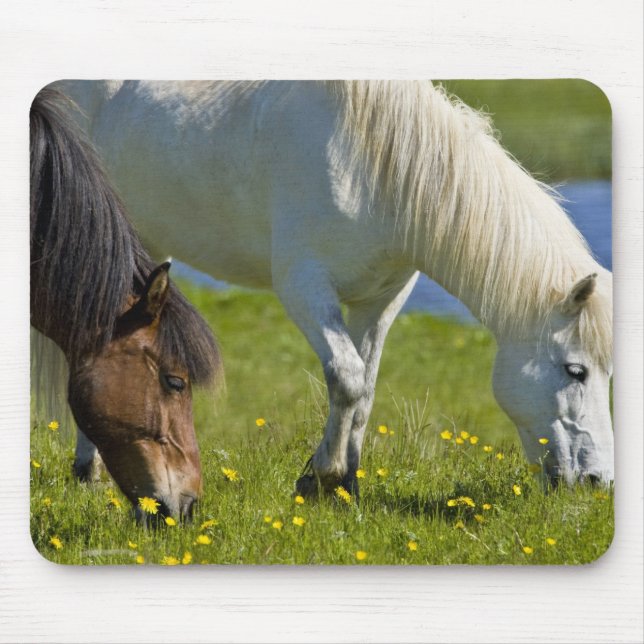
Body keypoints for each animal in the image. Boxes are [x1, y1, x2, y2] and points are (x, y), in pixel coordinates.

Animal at [50, 80, 613, 494]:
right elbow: (346, 377)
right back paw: (88, 472)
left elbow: (365, 389)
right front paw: (322, 476)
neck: (375, 168)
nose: (597, 480)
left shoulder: (380, 301)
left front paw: (346, 485)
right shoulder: (303, 286)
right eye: (576, 371)